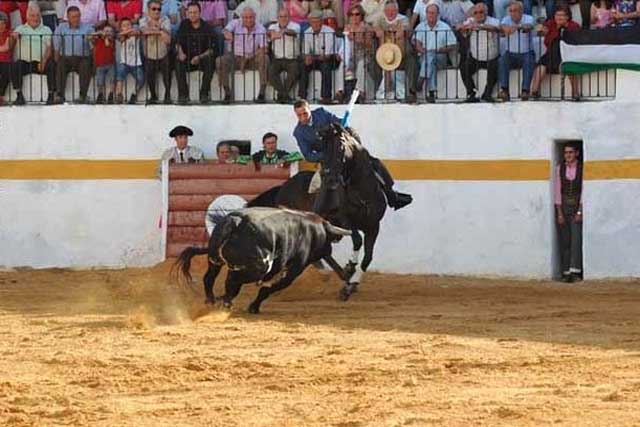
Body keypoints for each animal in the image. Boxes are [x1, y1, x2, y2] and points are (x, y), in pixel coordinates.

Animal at [176, 207, 350, 314]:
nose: (329, 250)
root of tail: (236, 222)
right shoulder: (293, 271)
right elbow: (269, 289)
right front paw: (253, 307)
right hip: (259, 268)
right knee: (232, 281)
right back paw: (224, 302)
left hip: (215, 260)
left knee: (210, 278)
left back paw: (213, 301)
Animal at [248, 122, 388, 300]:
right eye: (323, 149)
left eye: (340, 146)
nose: (331, 179)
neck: (362, 192)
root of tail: (283, 187)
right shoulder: (345, 220)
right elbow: (357, 240)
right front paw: (350, 267)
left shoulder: (374, 226)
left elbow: (368, 257)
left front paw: (352, 283)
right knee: (322, 252)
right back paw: (339, 273)